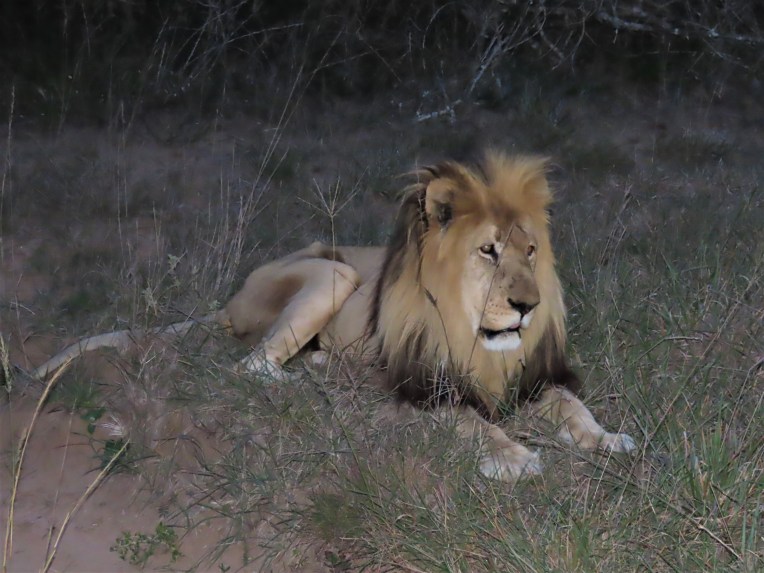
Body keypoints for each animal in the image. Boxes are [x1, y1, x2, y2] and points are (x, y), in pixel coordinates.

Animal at [32, 151, 636, 481]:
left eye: (530, 251)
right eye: (487, 251)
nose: (528, 306)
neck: (476, 338)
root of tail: (230, 301)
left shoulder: (533, 380)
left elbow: (573, 405)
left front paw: (609, 441)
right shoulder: (419, 388)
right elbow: (470, 421)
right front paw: (514, 458)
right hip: (331, 273)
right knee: (251, 366)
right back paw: (319, 385)